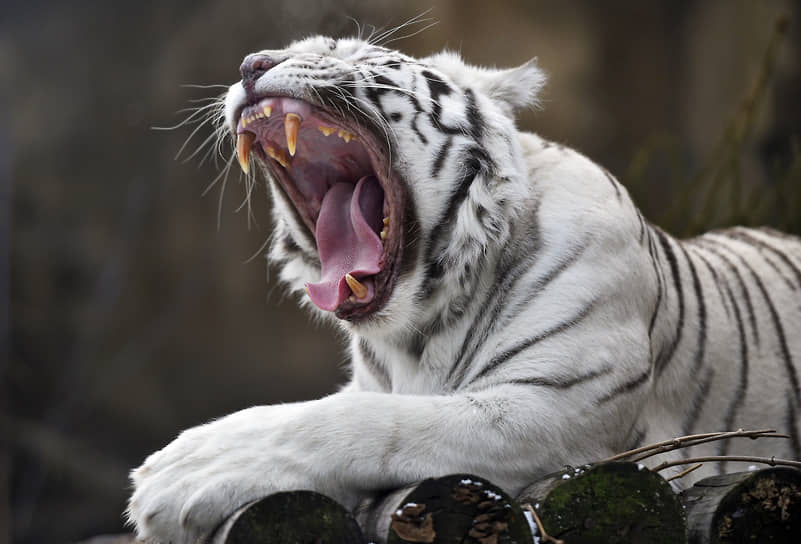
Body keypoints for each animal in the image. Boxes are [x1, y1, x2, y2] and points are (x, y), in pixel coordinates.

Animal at [127, 34, 801, 543]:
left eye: (346, 51)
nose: (251, 65)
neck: (416, 328)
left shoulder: (559, 409)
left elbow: (368, 420)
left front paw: (179, 473)